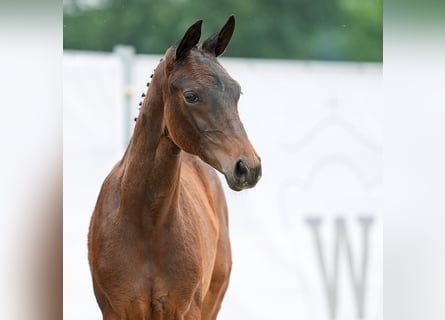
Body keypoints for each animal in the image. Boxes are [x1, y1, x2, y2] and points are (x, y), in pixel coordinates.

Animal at [87, 16, 260, 318]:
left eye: (237, 93)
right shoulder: (117, 309)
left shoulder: (185, 309)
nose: (247, 167)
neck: (146, 223)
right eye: (191, 95)